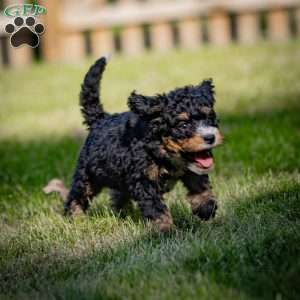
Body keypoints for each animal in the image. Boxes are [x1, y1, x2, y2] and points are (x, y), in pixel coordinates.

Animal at [65, 56, 223, 232]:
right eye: (183, 125)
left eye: (209, 117)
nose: (210, 137)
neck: (161, 149)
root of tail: (100, 119)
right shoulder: (143, 180)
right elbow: (156, 208)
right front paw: (166, 230)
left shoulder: (191, 170)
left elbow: (201, 186)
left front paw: (205, 208)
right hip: (88, 175)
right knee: (77, 196)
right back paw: (75, 219)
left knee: (119, 195)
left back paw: (123, 214)